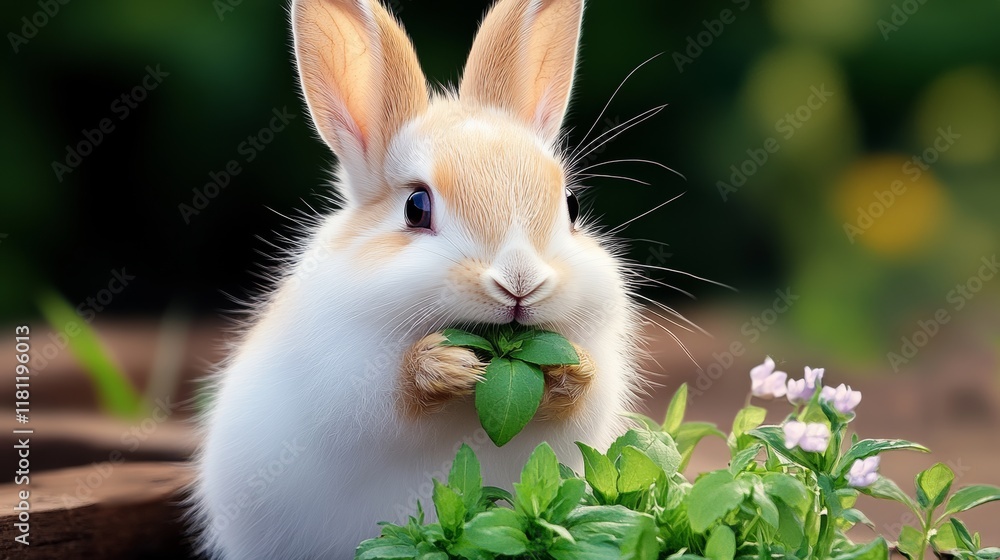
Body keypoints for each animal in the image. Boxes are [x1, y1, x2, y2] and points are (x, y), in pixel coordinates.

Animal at [190, 0, 644, 557]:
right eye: (416, 207)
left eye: (571, 206)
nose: (520, 281)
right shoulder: (349, 377)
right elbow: (391, 396)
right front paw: (446, 367)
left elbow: (581, 396)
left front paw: (571, 370)